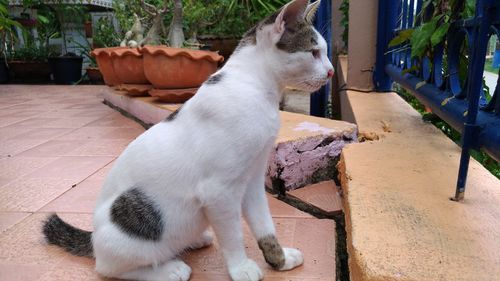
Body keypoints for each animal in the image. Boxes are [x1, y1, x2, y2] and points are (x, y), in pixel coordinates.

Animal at [42, 1, 332, 278]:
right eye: (313, 52)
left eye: (325, 51)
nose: (330, 72)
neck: (253, 86)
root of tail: (93, 238)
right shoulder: (219, 191)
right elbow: (233, 235)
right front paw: (240, 267)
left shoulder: (252, 180)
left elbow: (265, 225)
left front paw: (279, 259)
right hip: (130, 230)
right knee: (109, 268)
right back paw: (168, 270)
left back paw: (194, 240)